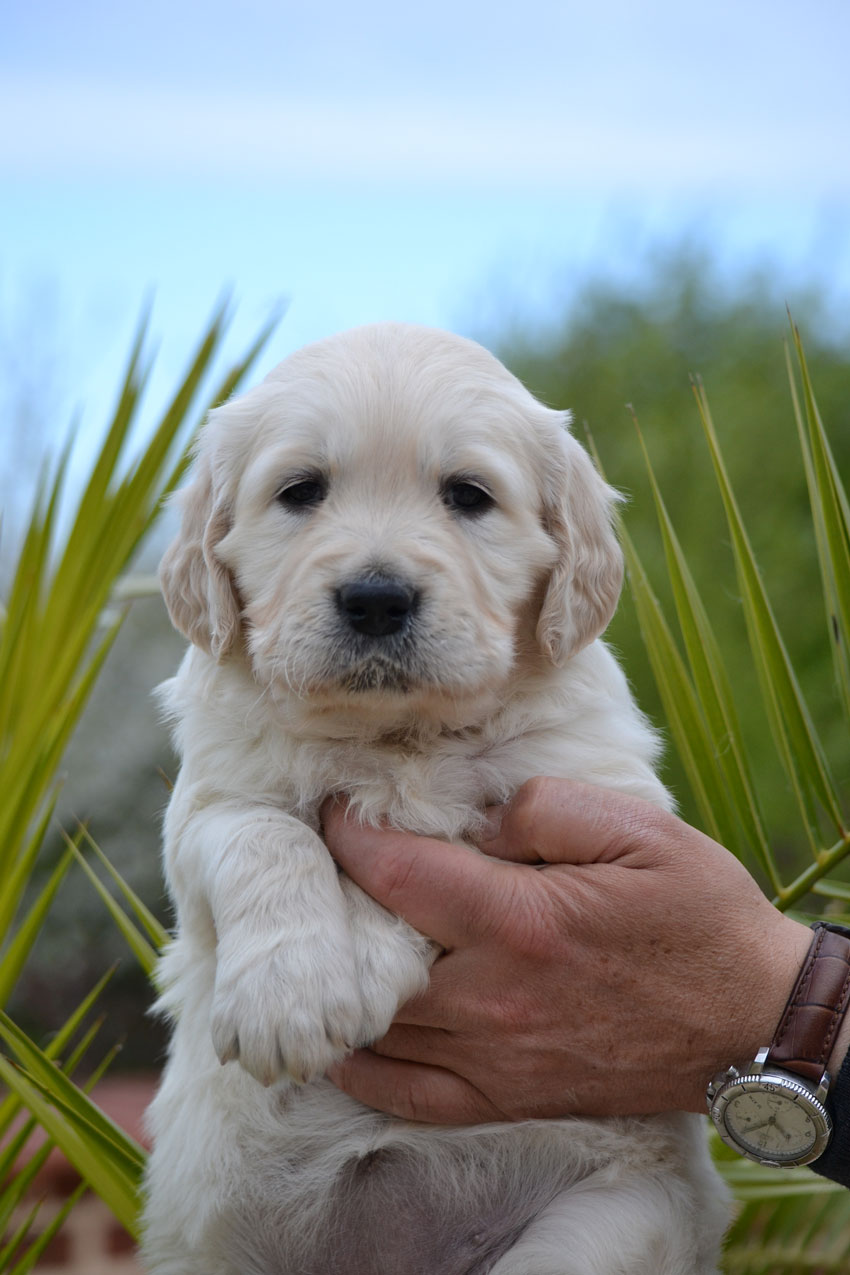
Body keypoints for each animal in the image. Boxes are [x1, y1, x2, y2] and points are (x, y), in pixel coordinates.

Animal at [142, 326, 728, 1275]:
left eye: (469, 495)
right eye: (300, 491)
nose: (376, 598)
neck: (397, 736)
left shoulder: (591, 787)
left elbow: (454, 834)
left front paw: (373, 953)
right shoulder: (204, 803)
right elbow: (262, 833)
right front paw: (290, 995)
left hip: (615, 1213)